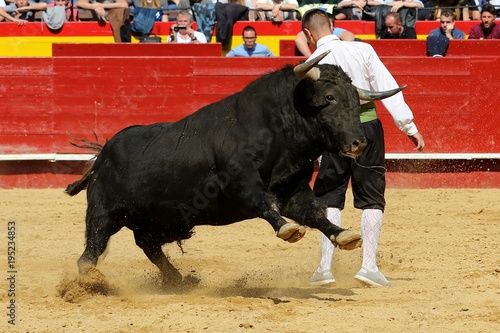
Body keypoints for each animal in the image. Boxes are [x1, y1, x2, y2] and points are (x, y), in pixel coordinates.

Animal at [66, 51, 404, 282]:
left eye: (356, 101)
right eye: (329, 97)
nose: (358, 143)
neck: (276, 130)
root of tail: (102, 155)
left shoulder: (293, 188)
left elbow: (315, 214)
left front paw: (343, 234)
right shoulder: (240, 182)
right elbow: (263, 203)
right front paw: (287, 229)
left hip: (151, 222)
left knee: (149, 247)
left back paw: (176, 280)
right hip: (103, 214)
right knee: (89, 255)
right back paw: (88, 284)